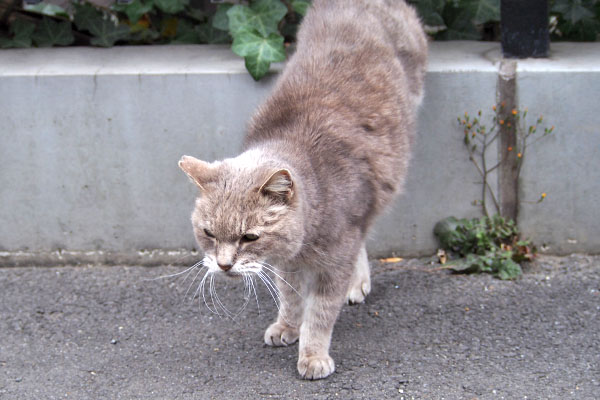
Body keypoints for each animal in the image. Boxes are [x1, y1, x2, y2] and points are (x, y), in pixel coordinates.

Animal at [178, 0, 426, 378]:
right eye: (208, 233)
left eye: (249, 237)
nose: (223, 266)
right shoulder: (287, 263)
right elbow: (291, 296)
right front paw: (287, 326)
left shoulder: (336, 257)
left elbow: (321, 312)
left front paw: (313, 355)